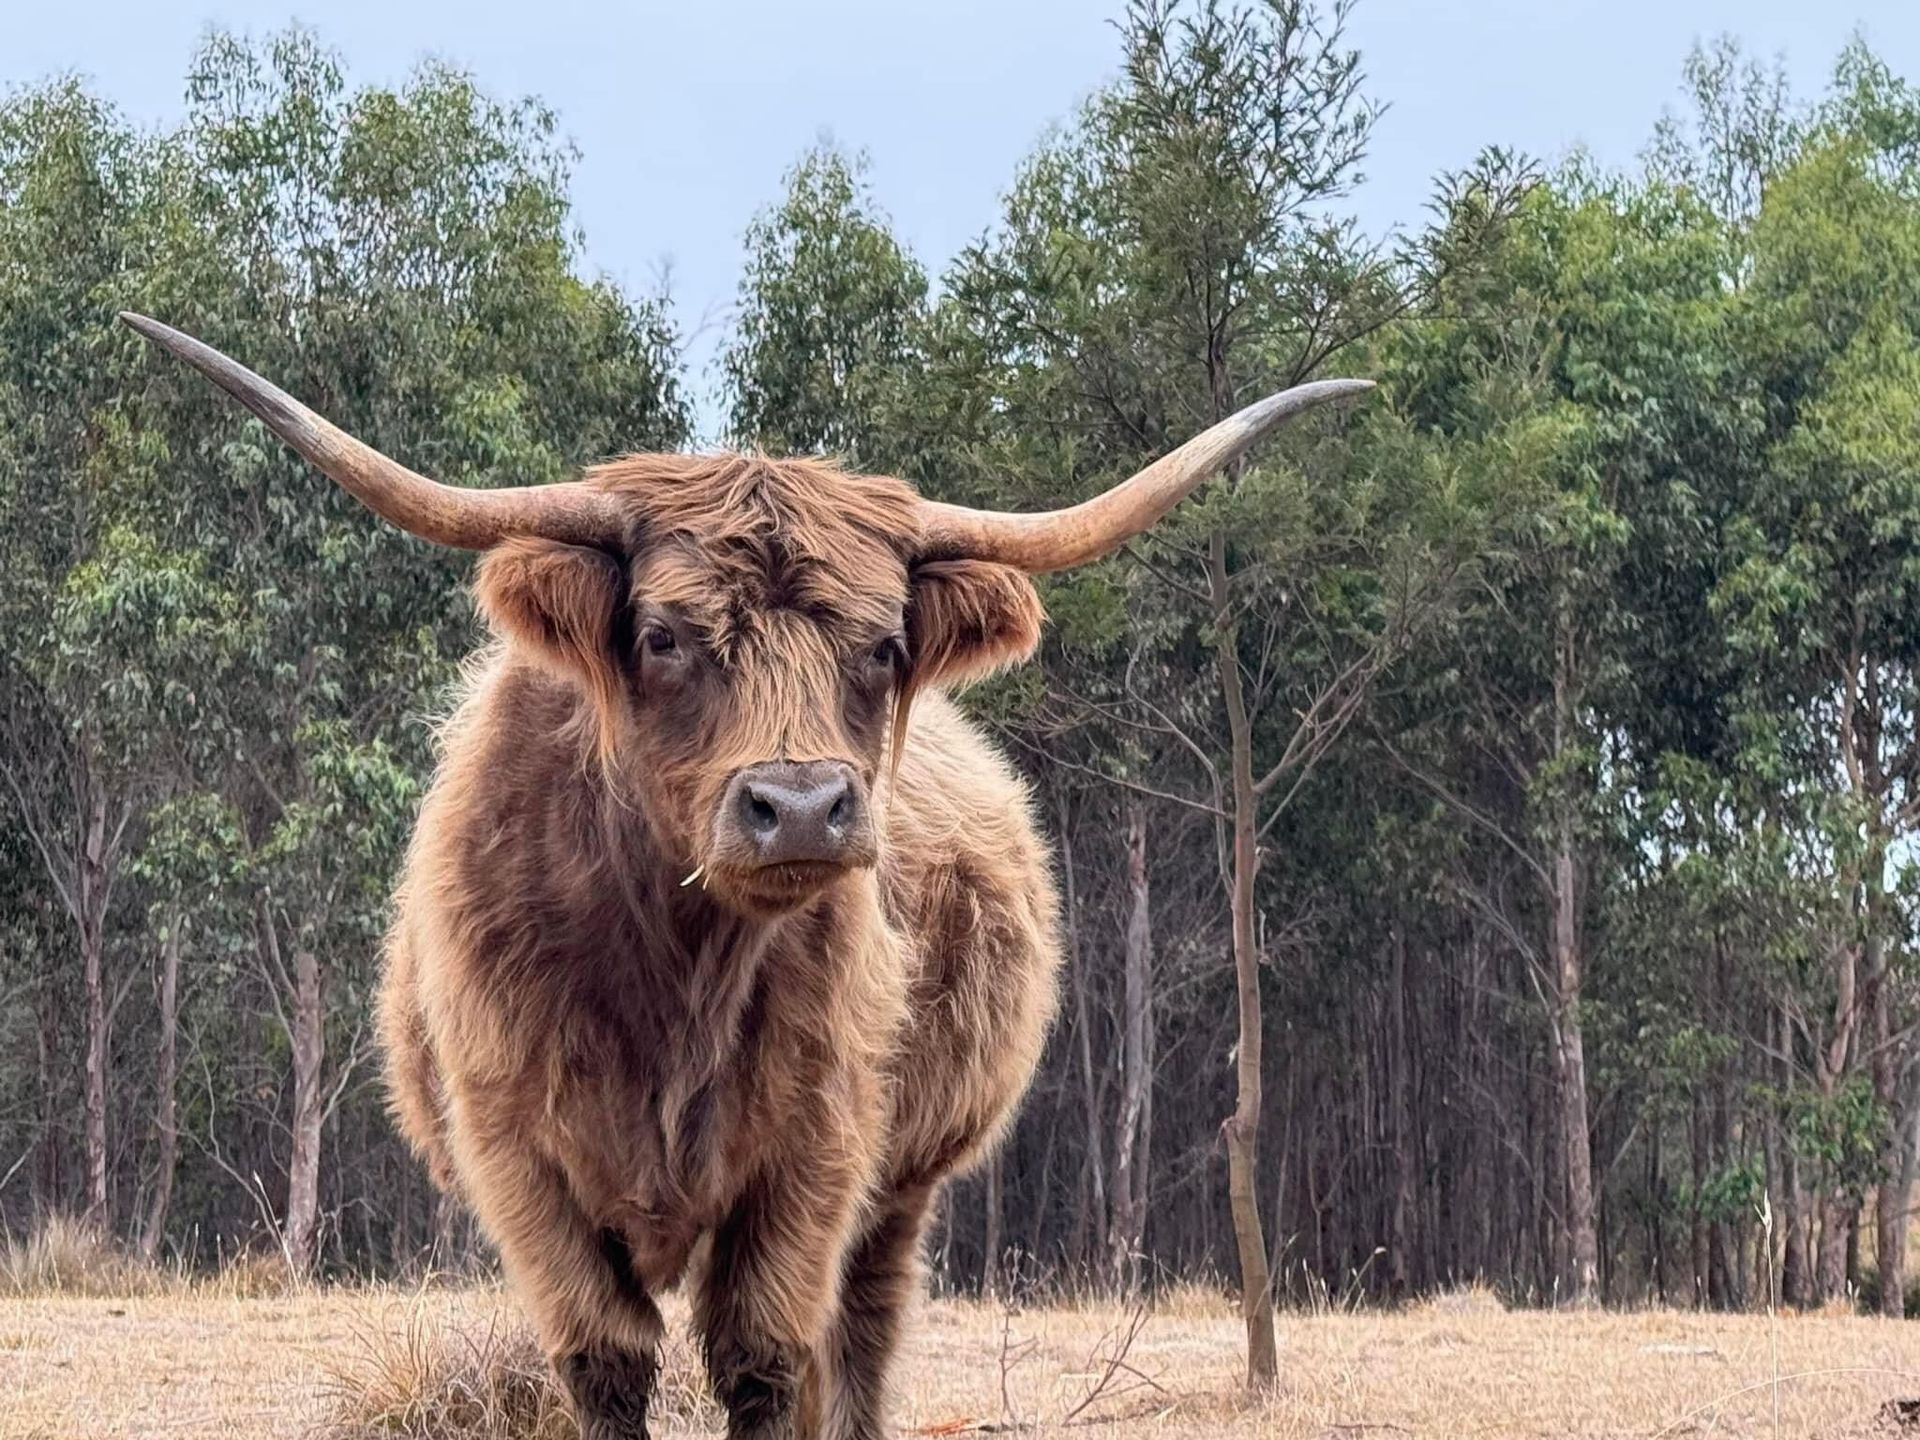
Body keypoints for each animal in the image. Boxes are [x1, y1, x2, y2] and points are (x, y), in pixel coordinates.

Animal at [122, 311, 1368, 1440]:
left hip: (901, 1185)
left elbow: (764, 1358)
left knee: (854, 1340)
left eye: (881, 646)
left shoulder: (816, 1153)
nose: (802, 807)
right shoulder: (520, 1157)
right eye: (666, 637)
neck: (675, 975)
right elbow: (607, 1362)